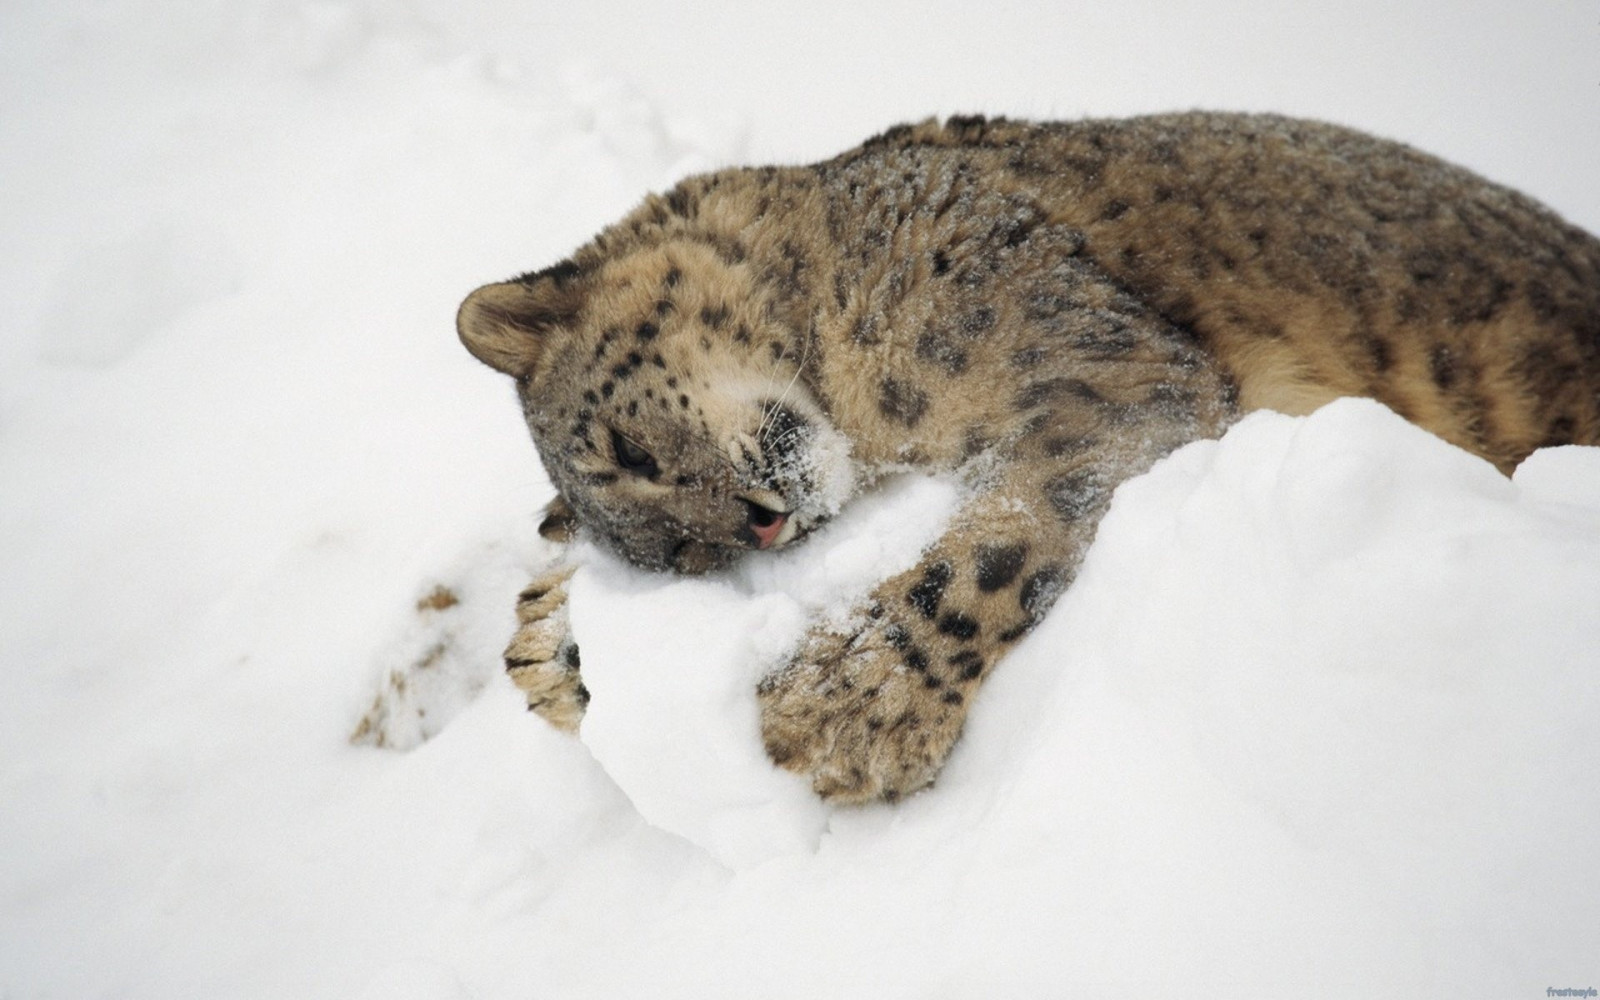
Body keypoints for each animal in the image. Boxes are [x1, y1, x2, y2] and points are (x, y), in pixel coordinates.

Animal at [457, 112, 1600, 804]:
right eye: (677, 559)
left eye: (623, 449)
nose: (760, 524)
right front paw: (554, 646)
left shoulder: (1104, 369)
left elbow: (1001, 540)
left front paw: (840, 708)